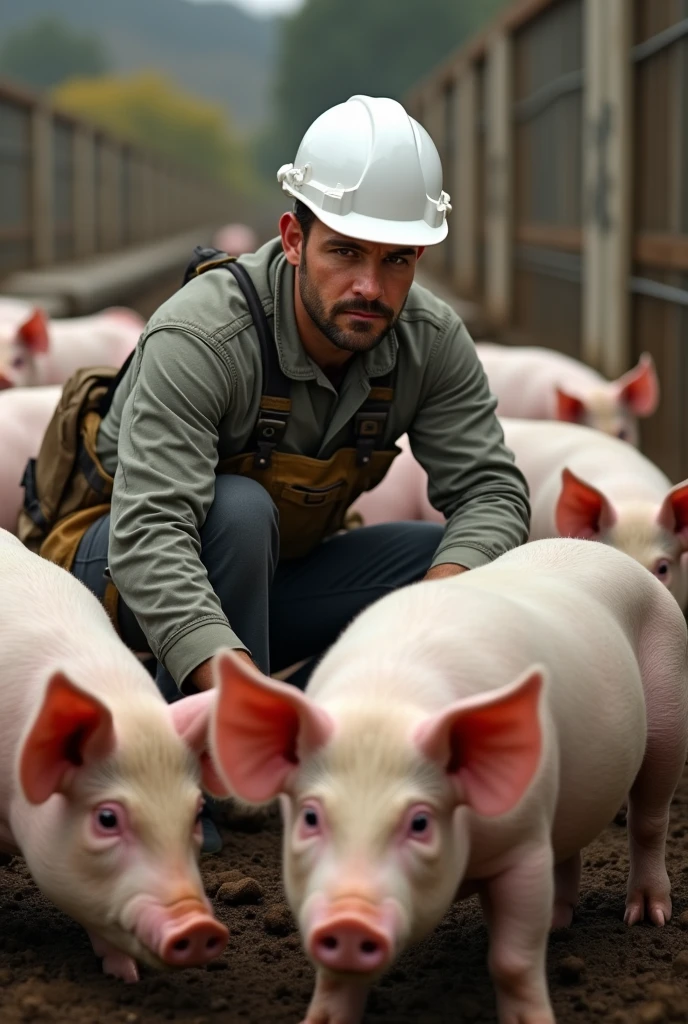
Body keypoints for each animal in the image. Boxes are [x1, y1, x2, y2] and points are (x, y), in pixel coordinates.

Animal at [206, 536, 688, 1024]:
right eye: (309, 817)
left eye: (420, 821)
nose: (349, 920)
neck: (387, 701)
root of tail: (603, 550)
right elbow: (336, 979)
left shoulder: (522, 843)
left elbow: (512, 960)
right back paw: (557, 923)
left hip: (669, 709)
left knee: (649, 819)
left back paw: (646, 916)